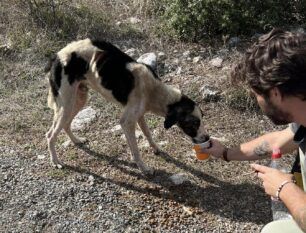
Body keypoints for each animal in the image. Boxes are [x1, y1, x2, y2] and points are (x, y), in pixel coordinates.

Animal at [44, 39, 209, 175]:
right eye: (193, 123)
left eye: (202, 119)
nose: (207, 138)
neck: (153, 90)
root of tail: (56, 56)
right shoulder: (126, 122)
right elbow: (135, 149)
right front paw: (143, 168)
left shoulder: (139, 115)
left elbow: (147, 134)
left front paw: (155, 148)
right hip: (67, 104)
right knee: (50, 135)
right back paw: (55, 161)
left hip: (79, 100)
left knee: (66, 124)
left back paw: (76, 140)